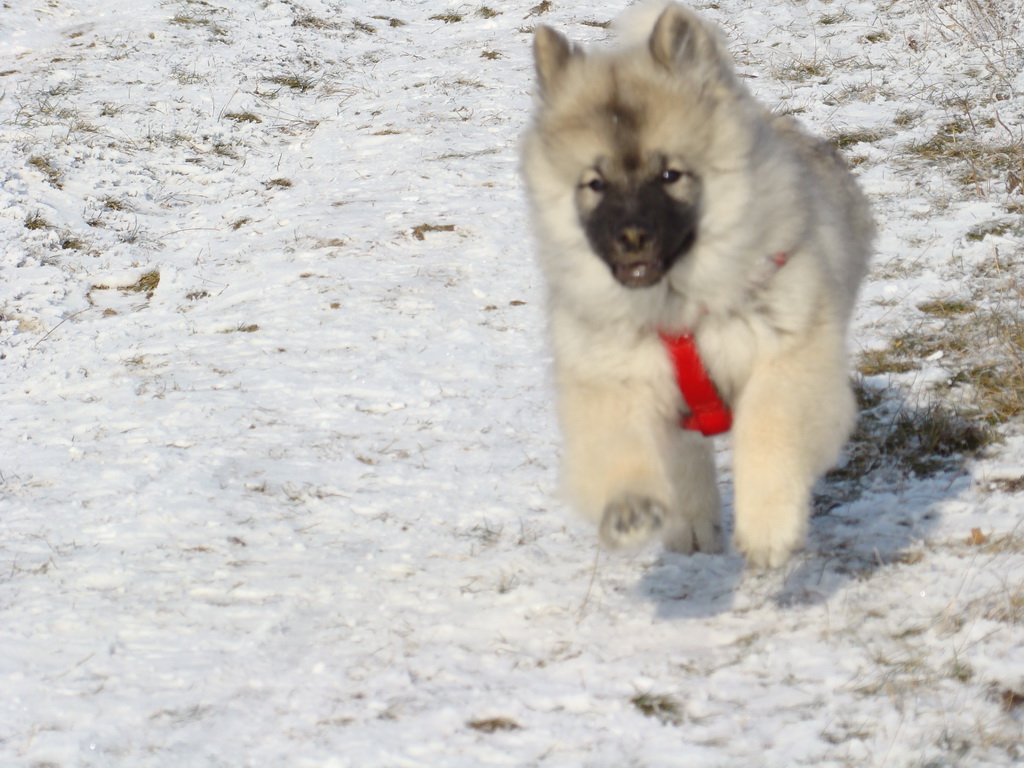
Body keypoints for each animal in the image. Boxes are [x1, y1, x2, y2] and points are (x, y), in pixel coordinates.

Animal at [520, 1, 874, 567]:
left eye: (670, 176)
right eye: (595, 184)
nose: (631, 237)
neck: (677, 309)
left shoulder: (788, 357)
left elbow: (768, 433)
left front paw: (768, 528)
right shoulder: (611, 379)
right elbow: (621, 449)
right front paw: (630, 510)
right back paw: (690, 527)